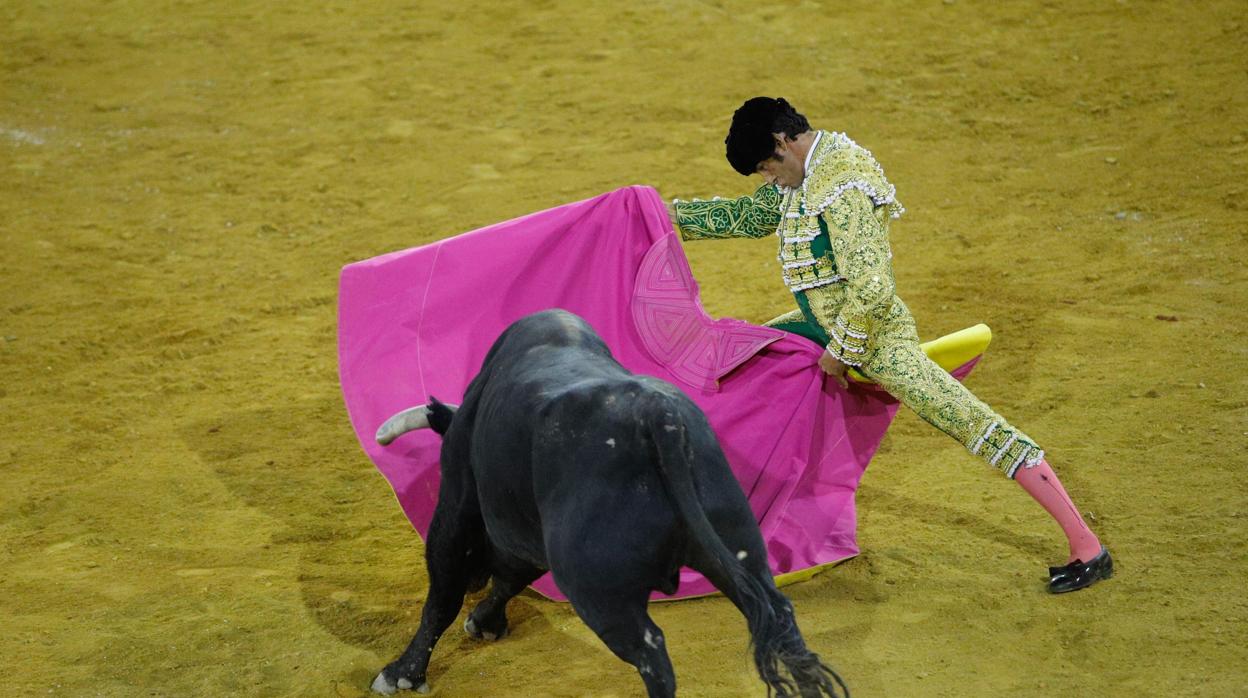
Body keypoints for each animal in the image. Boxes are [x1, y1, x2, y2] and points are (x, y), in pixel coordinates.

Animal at [369, 312, 848, 698]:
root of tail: (657, 416)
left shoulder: (457, 503)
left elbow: (443, 594)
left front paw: (402, 673)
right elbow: (513, 575)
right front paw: (486, 621)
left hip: (596, 589)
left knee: (652, 653)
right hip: (738, 547)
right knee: (779, 617)